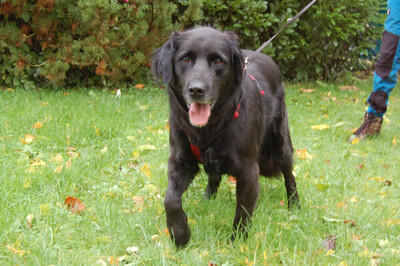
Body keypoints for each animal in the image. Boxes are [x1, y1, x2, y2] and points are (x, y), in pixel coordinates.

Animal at [152, 27, 298, 247]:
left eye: (219, 61)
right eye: (185, 59)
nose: (196, 90)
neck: (209, 128)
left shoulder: (248, 170)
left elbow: (243, 210)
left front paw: (237, 242)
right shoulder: (181, 161)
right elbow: (170, 199)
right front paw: (180, 233)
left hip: (281, 143)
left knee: (290, 176)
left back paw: (295, 206)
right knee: (214, 176)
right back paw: (207, 198)